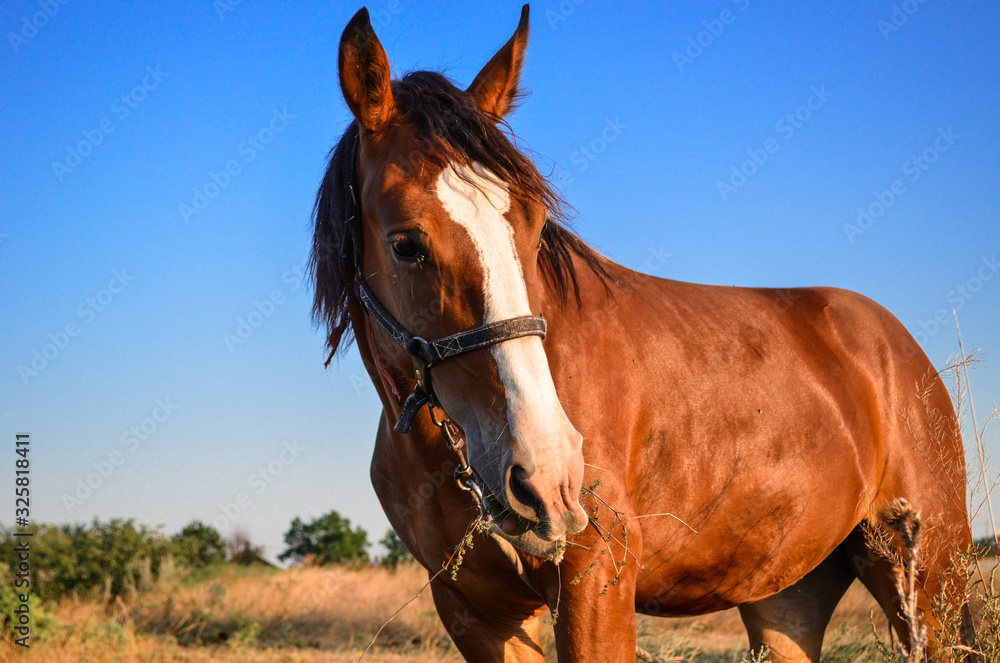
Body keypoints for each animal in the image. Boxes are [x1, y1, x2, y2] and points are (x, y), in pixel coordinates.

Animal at [311, 6, 973, 662]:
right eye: (405, 244)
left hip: (927, 583)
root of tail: (901, 348)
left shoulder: (597, 586)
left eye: (534, 224)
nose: (548, 477)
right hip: (788, 597)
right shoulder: (477, 614)